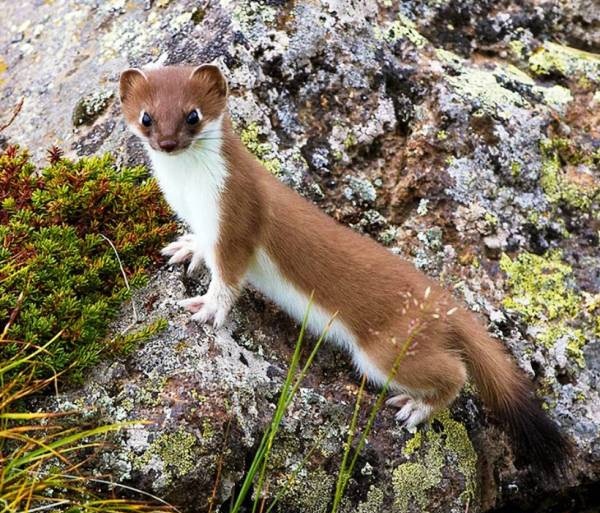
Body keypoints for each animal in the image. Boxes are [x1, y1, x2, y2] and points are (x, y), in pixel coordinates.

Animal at [118, 64, 572, 476]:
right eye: (147, 116)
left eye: (192, 115)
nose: (167, 142)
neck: (189, 191)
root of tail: (445, 303)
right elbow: (201, 244)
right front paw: (186, 248)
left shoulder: (237, 218)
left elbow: (230, 276)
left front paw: (207, 308)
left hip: (385, 349)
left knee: (454, 373)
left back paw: (416, 407)